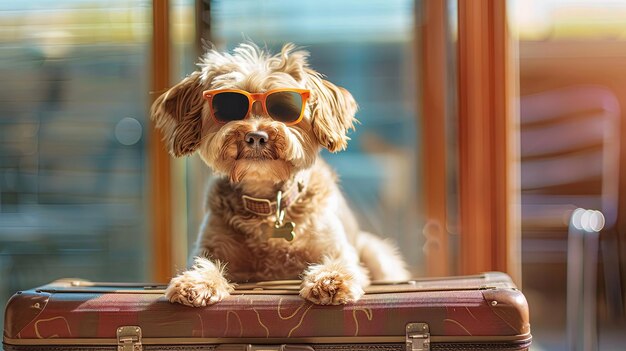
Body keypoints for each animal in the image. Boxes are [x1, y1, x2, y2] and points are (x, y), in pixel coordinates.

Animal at [151, 42, 410, 308]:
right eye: (228, 108)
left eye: (284, 109)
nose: (256, 136)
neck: (267, 204)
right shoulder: (211, 246)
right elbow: (206, 263)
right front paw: (197, 281)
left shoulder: (336, 247)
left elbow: (340, 263)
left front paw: (330, 279)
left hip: (375, 251)